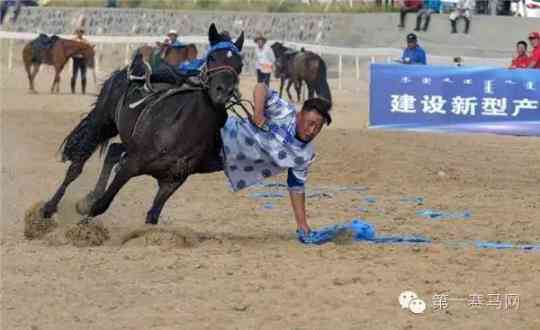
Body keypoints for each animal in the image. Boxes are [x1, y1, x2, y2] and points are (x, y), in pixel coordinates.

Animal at [41, 24, 244, 227]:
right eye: (212, 58)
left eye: (240, 64)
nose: (223, 91)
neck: (183, 130)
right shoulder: (131, 165)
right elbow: (102, 205)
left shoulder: (172, 181)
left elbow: (152, 216)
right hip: (102, 123)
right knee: (77, 165)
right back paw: (49, 207)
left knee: (113, 150)